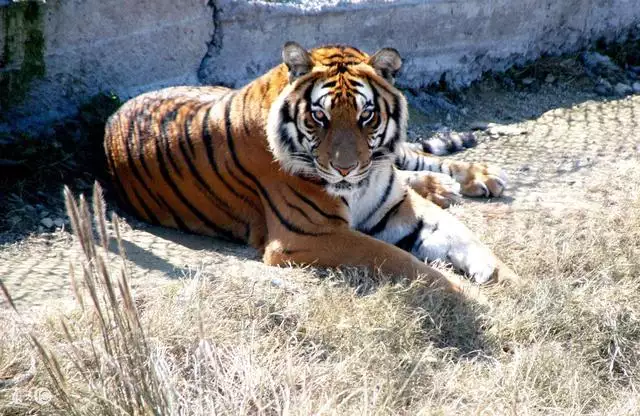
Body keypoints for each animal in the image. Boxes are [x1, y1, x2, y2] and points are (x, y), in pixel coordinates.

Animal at [104, 40, 516, 290]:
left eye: (366, 116)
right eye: (320, 116)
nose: (346, 169)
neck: (363, 183)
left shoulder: (398, 206)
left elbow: (462, 233)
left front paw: (504, 276)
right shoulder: (308, 235)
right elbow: (396, 258)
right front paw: (464, 290)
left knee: (414, 159)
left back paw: (476, 178)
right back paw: (442, 186)